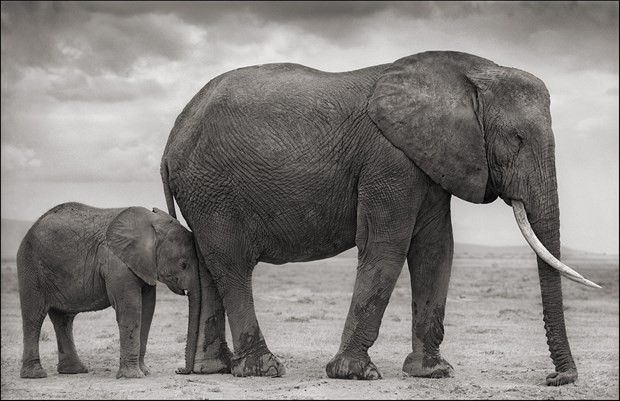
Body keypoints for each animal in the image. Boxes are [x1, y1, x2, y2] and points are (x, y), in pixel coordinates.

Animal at [17, 202, 197, 380]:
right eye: (183, 265)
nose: (179, 370)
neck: (152, 222)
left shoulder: (145, 266)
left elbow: (147, 311)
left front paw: (144, 372)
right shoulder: (116, 262)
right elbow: (130, 311)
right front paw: (132, 376)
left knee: (63, 320)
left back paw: (74, 371)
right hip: (30, 266)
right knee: (34, 316)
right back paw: (35, 375)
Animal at [161, 50, 600, 384]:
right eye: (517, 139)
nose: (555, 378)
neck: (468, 73)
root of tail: (171, 141)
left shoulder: (428, 162)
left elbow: (435, 251)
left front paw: (433, 373)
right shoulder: (389, 161)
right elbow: (386, 248)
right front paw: (355, 375)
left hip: (203, 193)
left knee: (208, 268)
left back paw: (213, 369)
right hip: (213, 190)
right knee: (232, 266)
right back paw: (264, 369)